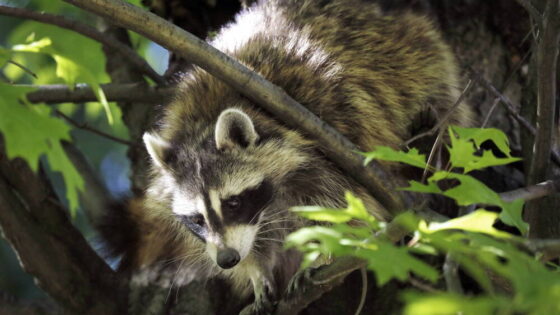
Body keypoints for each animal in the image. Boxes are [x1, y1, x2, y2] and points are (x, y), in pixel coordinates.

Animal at [101, 0, 472, 314]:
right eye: (196, 219)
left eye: (233, 203)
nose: (227, 260)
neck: (204, 124)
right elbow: (258, 242)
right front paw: (256, 273)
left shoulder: (333, 143)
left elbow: (344, 208)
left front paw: (320, 255)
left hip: (420, 62)